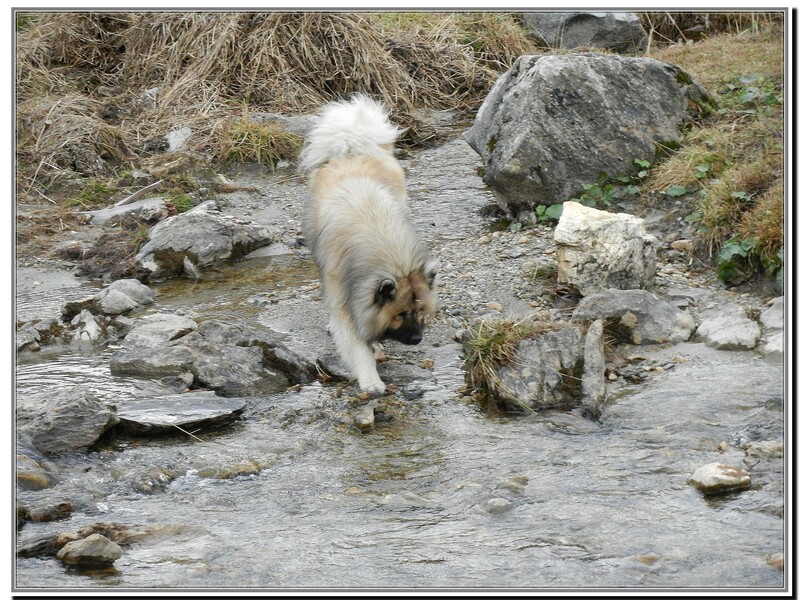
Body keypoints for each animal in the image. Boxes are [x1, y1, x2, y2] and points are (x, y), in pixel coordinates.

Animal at [298, 94, 438, 396]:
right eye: (401, 314)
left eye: (420, 311)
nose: (417, 339)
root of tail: (351, 148)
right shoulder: (344, 293)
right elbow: (355, 342)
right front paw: (371, 380)